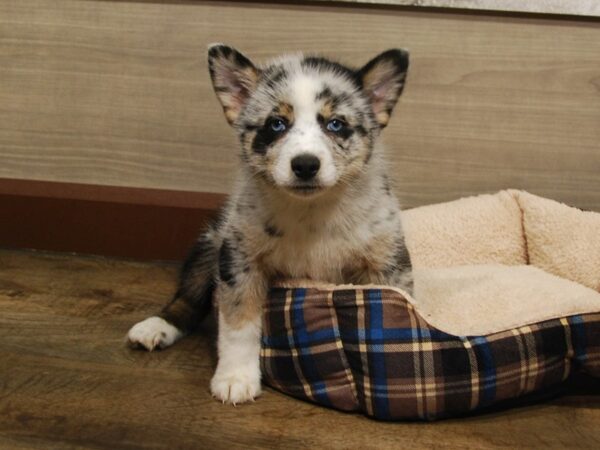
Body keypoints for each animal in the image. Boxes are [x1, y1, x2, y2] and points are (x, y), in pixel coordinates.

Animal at [127, 44, 412, 404]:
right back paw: (156, 326)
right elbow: (238, 324)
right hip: (210, 243)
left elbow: (393, 313)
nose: (305, 165)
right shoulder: (239, 258)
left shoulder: (386, 262)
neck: (311, 211)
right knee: (188, 297)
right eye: (276, 124)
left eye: (335, 124)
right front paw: (235, 378)